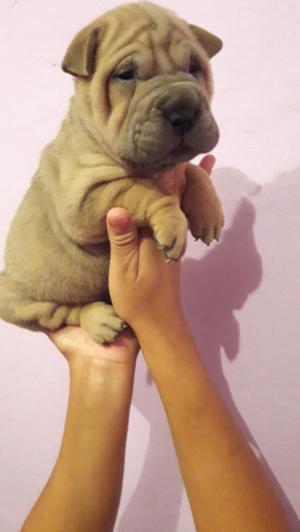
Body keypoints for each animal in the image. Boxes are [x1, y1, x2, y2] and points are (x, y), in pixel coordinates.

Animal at [0, 2, 224, 342]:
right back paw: (100, 321)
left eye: (193, 66)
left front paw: (209, 212)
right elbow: (142, 187)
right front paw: (172, 222)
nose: (183, 109)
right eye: (126, 75)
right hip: (24, 303)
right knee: (64, 314)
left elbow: (192, 171)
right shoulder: (83, 198)